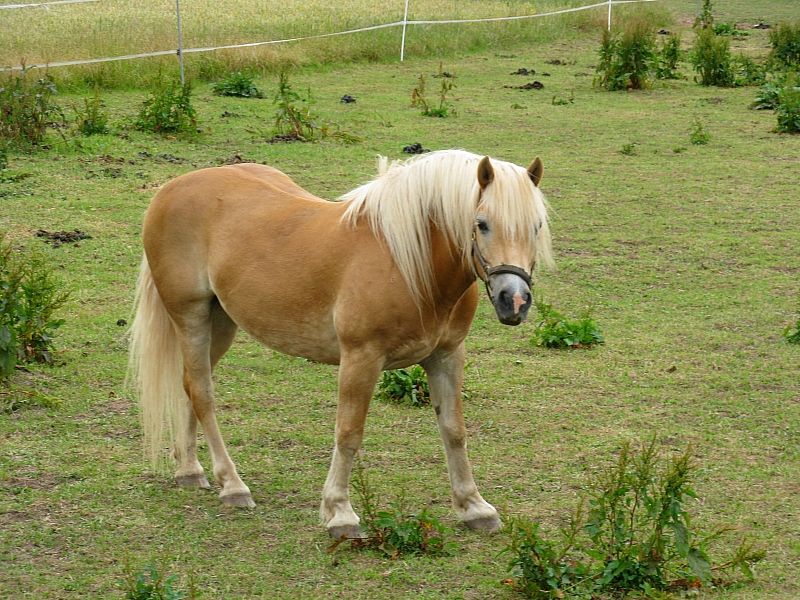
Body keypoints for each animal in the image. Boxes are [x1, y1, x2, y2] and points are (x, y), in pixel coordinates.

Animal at [128, 150, 552, 540]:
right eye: (482, 224)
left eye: (536, 226)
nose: (514, 300)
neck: (407, 263)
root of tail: (172, 188)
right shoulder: (361, 358)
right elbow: (349, 434)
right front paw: (340, 513)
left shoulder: (446, 356)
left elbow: (454, 430)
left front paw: (474, 506)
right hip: (191, 317)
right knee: (202, 392)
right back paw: (232, 485)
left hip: (221, 323)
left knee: (189, 385)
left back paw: (189, 469)